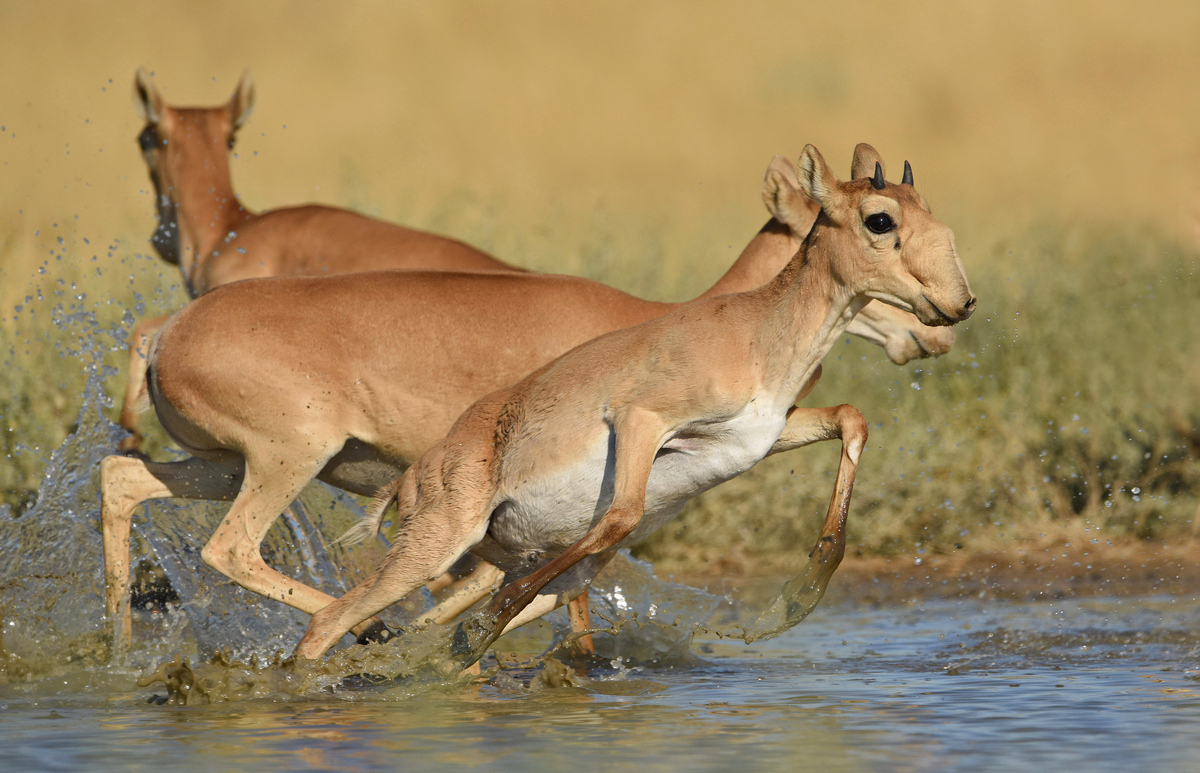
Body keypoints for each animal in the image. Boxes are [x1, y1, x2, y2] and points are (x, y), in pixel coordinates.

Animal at [98, 143, 950, 657]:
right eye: (872, 218)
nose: (941, 320)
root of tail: (165, 332)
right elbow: (563, 604)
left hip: (226, 465)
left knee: (123, 479)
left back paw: (119, 648)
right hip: (288, 462)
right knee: (232, 550)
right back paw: (372, 634)